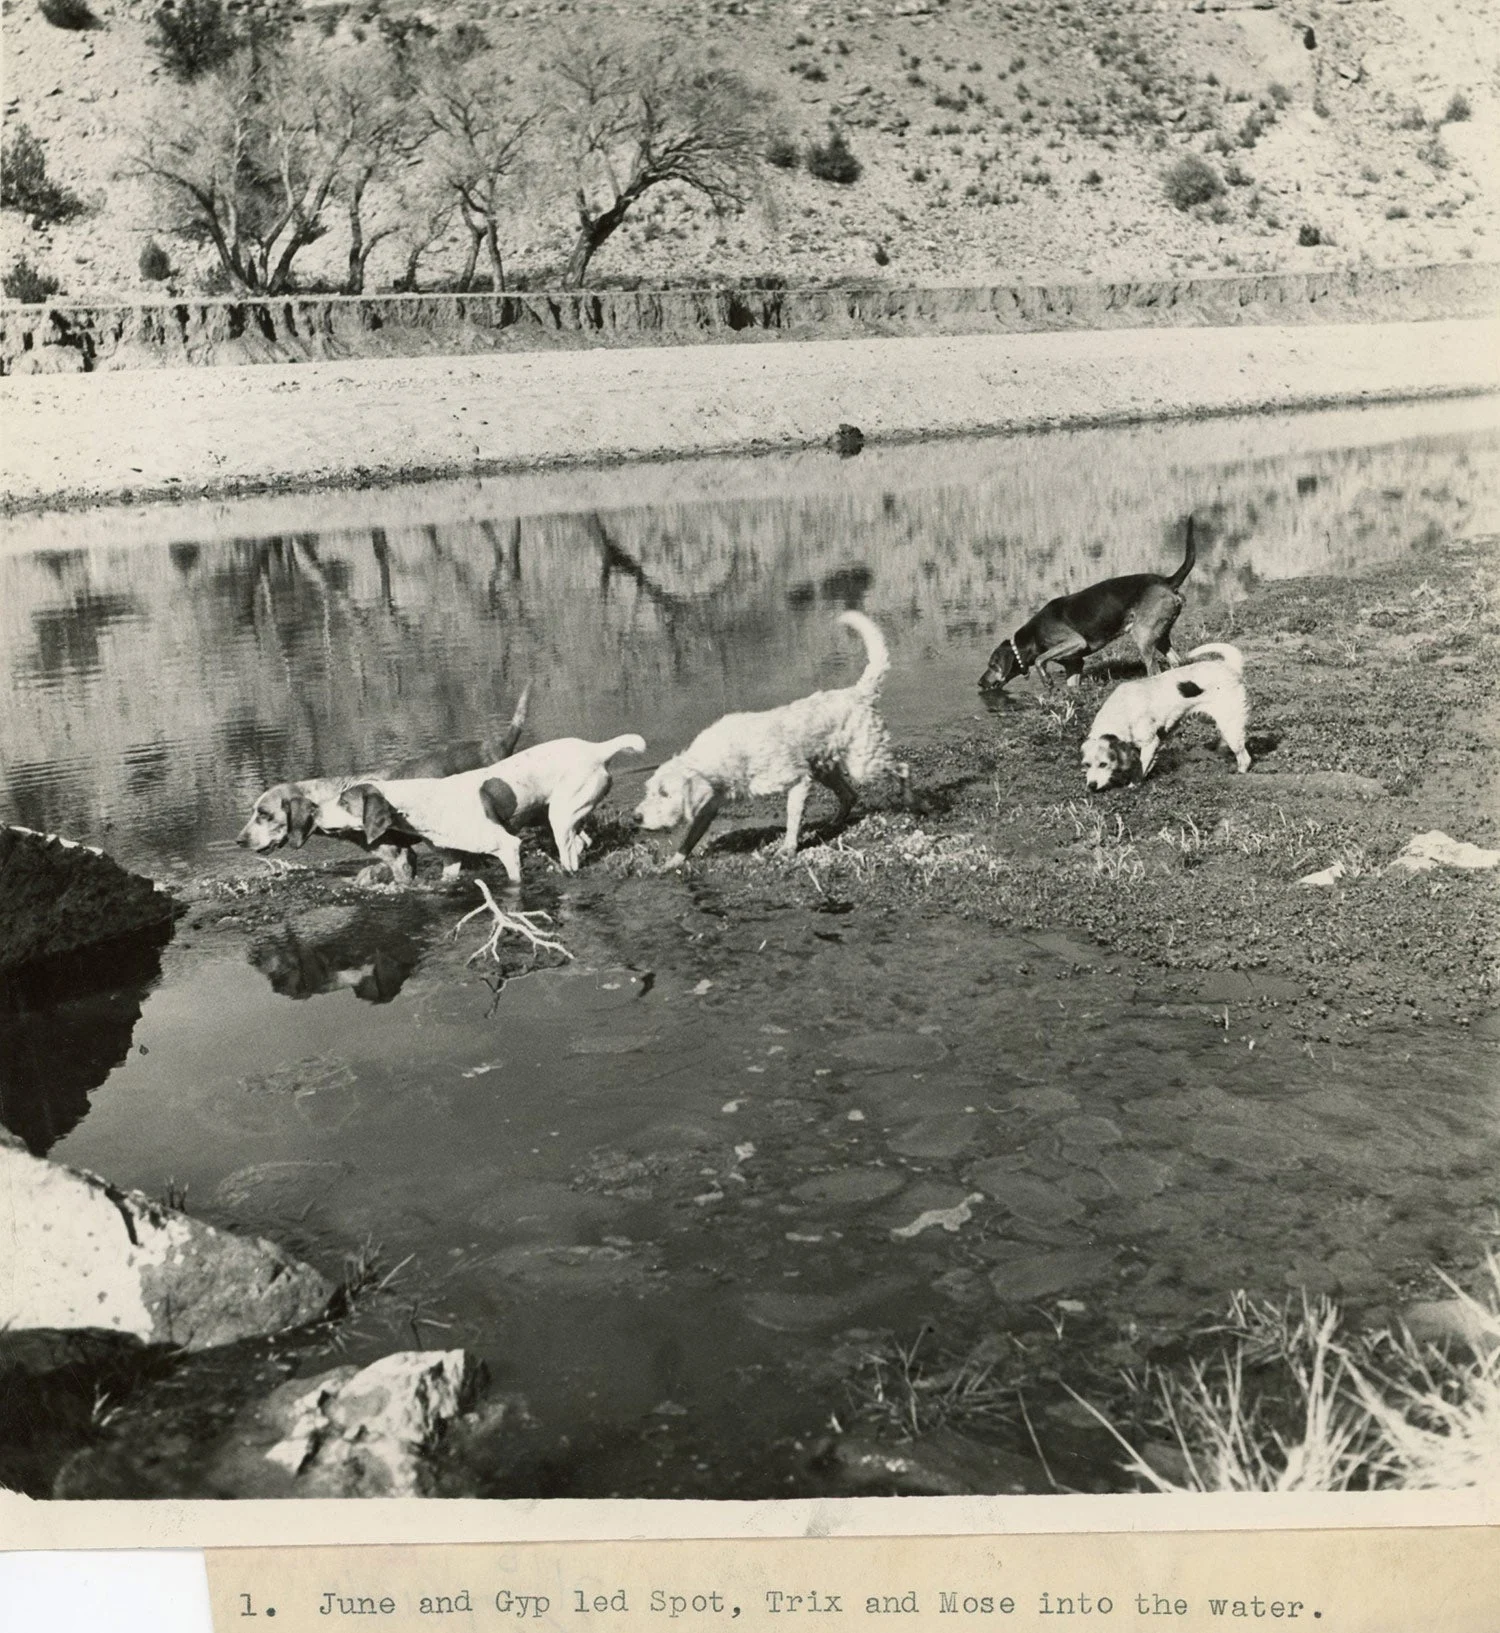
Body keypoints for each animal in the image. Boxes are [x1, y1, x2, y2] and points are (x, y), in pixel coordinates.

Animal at [339, 731, 646, 881]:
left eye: (343, 802)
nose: (325, 807)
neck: (423, 801)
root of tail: (597, 749)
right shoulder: (452, 859)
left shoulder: (507, 847)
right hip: (564, 814)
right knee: (582, 842)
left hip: (560, 817)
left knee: (570, 855)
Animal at [636, 614, 914, 868]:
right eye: (649, 790)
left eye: (664, 793)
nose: (636, 817)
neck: (719, 756)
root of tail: (858, 692)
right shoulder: (708, 806)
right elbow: (690, 836)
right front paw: (673, 861)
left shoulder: (798, 780)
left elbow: (792, 817)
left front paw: (788, 847)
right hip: (825, 769)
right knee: (849, 795)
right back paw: (835, 822)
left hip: (863, 763)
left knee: (902, 769)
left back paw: (912, 802)